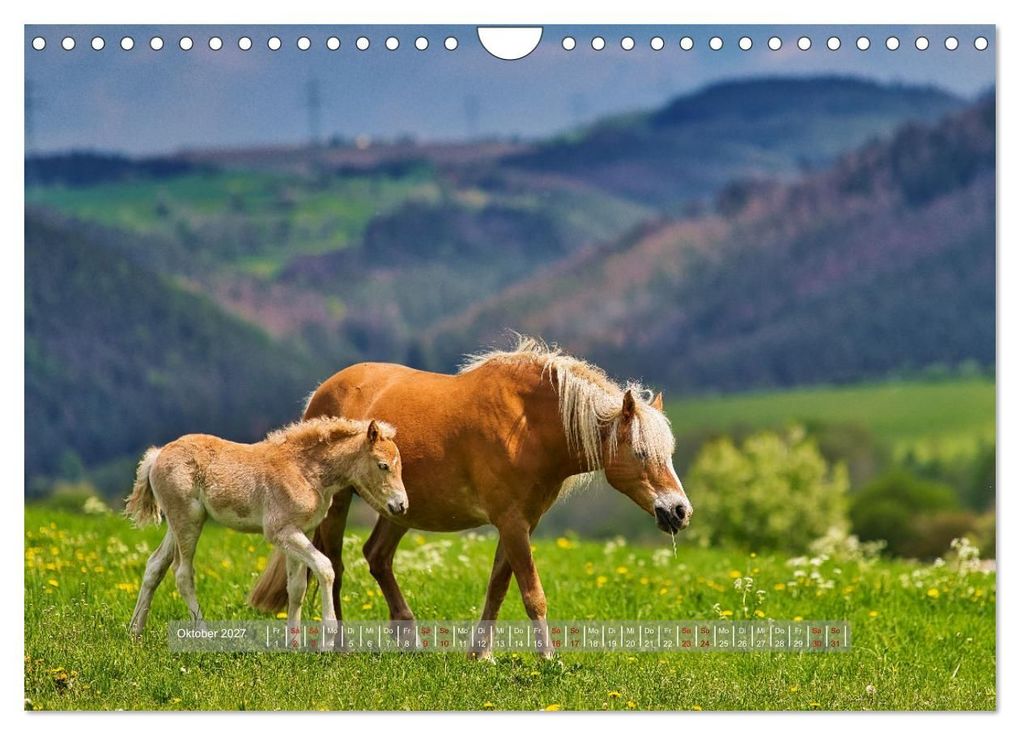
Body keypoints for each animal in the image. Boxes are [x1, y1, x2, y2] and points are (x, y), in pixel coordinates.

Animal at [125, 416, 407, 646]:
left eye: (400, 465)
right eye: (383, 465)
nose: (401, 505)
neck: (305, 470)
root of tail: (157, 455)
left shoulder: (300, 531)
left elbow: (296, 587)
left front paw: (293, 644)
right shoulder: (280, 532)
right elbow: (325, 568)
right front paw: (328, 639)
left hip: (179, 523)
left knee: (155, 566)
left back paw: (135, 632)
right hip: (188, 521)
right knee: (183, 574)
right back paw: (203, 635)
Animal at [249, 336, 692, 657]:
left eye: (669, 452)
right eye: (640, 453)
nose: (679, 511)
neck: (528, 424)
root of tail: (321, 394)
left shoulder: (520, 523)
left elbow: (498, 587)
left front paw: (481, 654)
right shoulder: (511, 523)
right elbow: (532, 594)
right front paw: (549, 659)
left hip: (399, 509)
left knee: (376, 556)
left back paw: (409, 638)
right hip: (340, 503)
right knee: (335, 563)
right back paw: (339, 645)